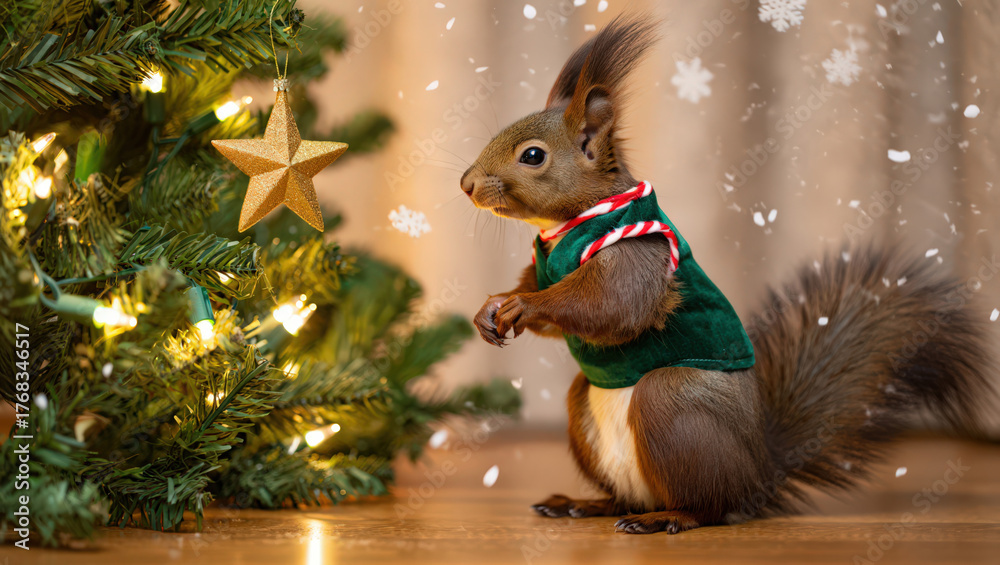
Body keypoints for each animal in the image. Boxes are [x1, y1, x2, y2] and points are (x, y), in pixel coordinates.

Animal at [459, 14, 996, 534]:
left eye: (533, 155)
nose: (466, 184)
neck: (563, 229)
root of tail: (758, 477)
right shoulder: (546, 264)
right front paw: (491, 307)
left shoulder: (636, 253)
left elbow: (610, 305)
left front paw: (523, 306)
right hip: (586, 408)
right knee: (624, 497)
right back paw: (584, 504)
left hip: (672, 406)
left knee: (708, 507)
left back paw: (668, 518)